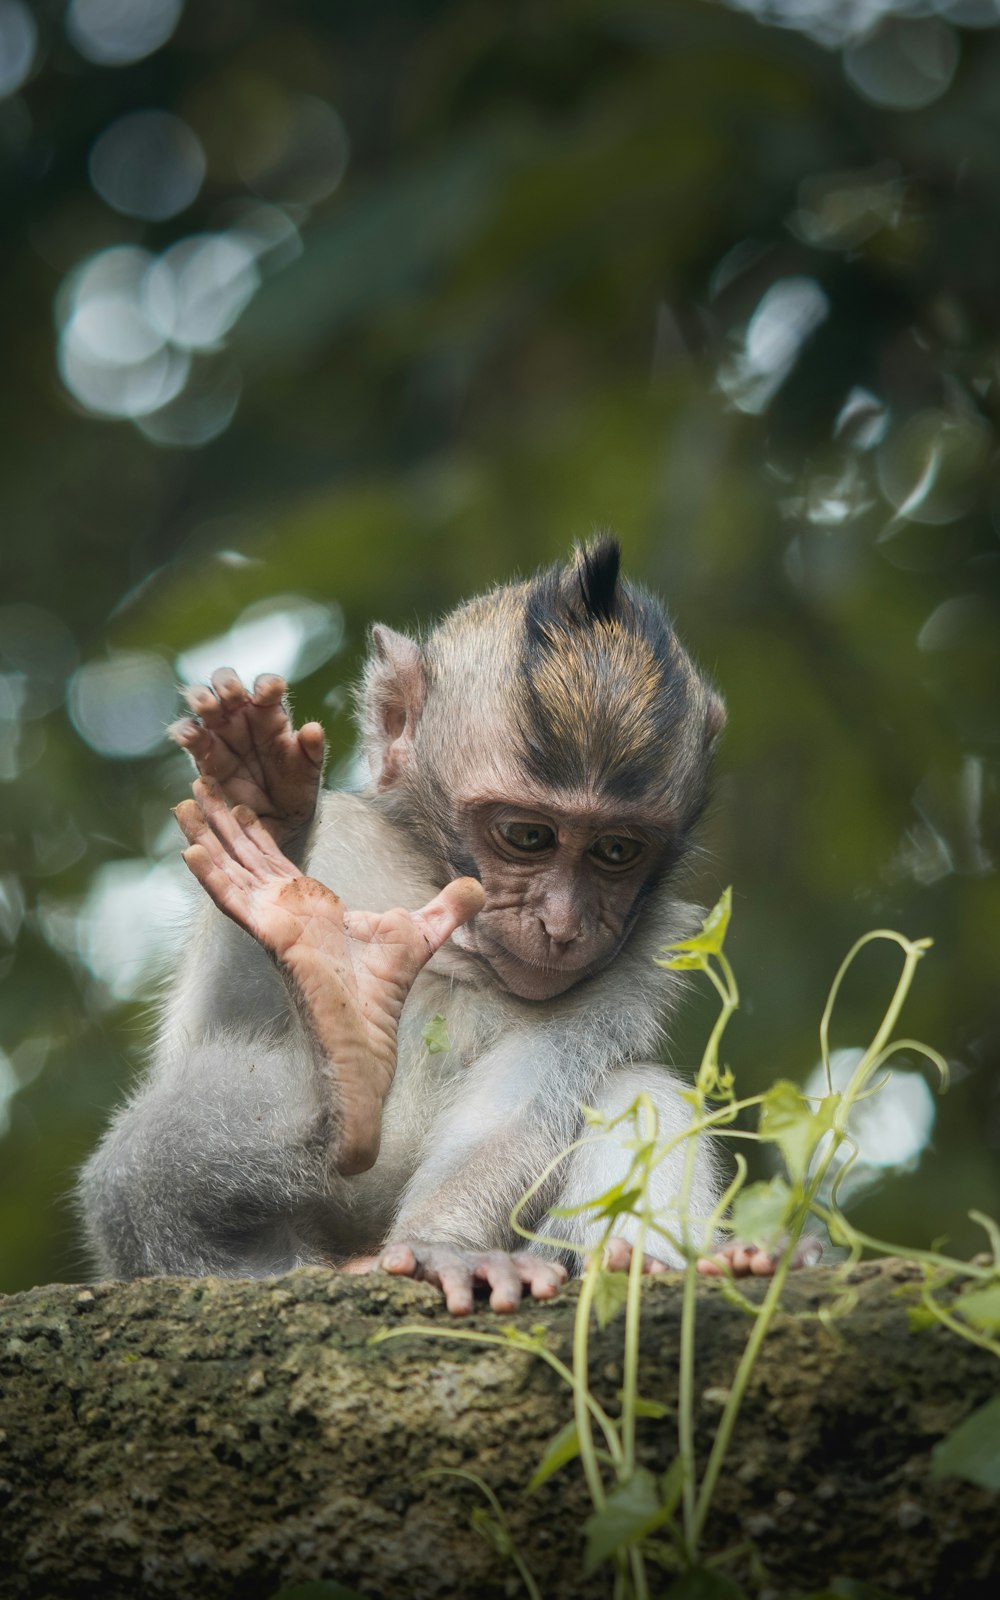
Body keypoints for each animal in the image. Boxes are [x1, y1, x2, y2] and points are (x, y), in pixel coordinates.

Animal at [78, 540, 800, 1312]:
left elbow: (521, 1105)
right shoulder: (348, 842)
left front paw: (438, 1247)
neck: (449, 914)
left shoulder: (645, 945)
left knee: (638, 1090)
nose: (562, 924)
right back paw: (339, 1100)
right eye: (528, 836)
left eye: (615, 851)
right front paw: (266, 808)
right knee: (134, 1175)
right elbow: (214, 1028)